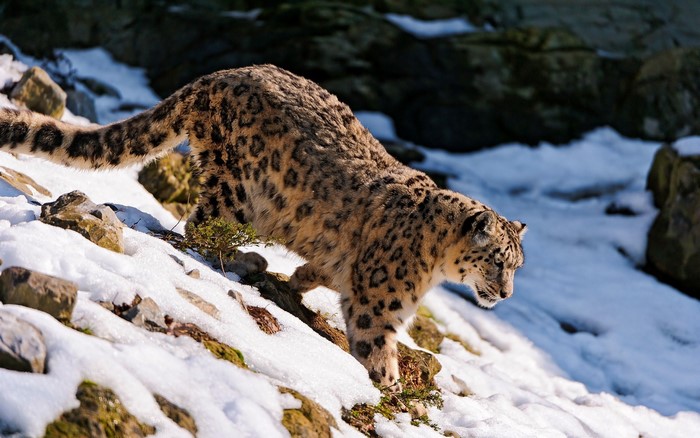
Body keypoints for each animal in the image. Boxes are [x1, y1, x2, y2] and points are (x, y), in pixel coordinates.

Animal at [0, 64, 526, 388]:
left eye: (517, 266)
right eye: (497, 261)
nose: (505, 294)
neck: (435, 265)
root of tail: (217, 76)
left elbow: (323, 270)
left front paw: (301, 279)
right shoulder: (380, 304)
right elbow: (376, 344)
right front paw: (388, 386)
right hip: (236, 189)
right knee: (200, 228)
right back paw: (247, 257)